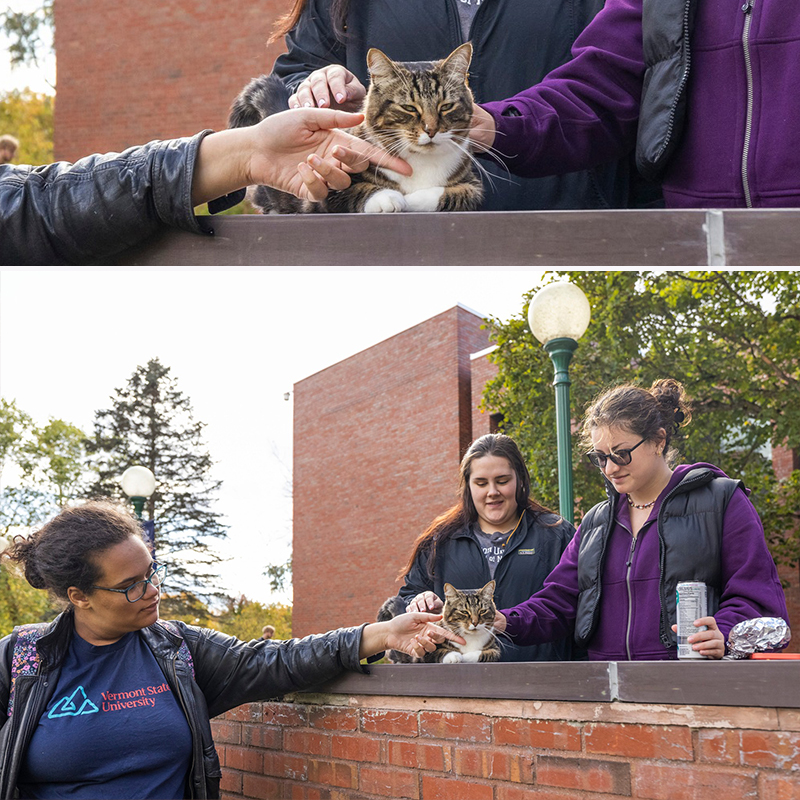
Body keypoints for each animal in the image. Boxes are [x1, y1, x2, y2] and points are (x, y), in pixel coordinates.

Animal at [227, 42, 482, 212]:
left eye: (446, 106)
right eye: (409, 108)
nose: (431, 130)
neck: (421, 162)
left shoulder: (473, 185)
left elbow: (458, 194)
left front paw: (412, 200)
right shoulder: (326, 192)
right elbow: (355, 189)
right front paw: (389, 198)